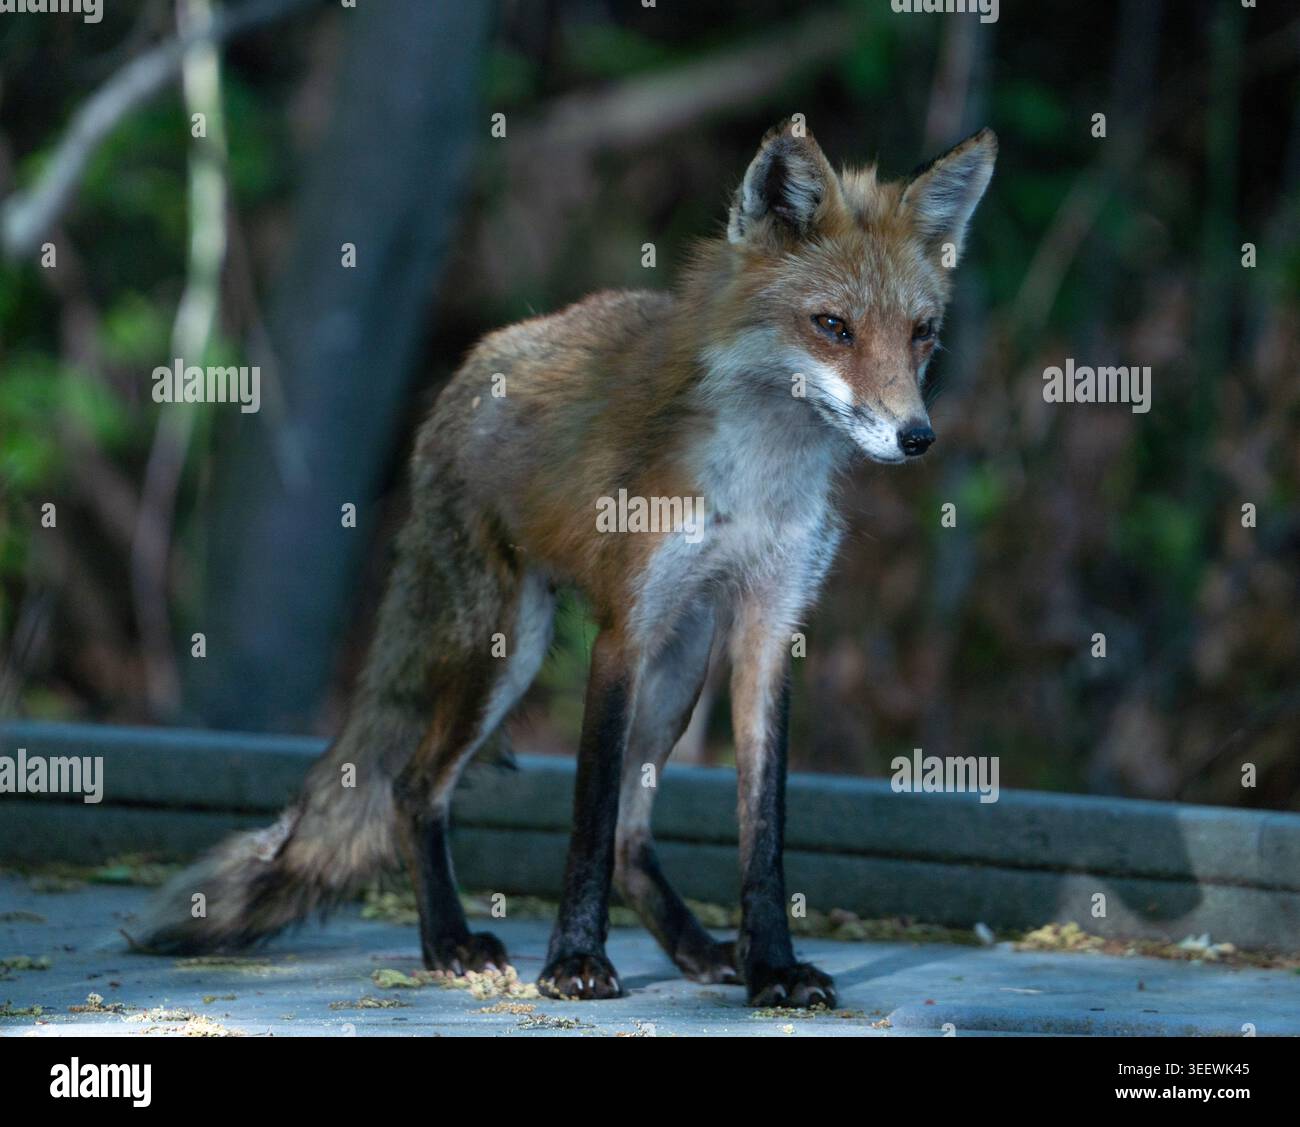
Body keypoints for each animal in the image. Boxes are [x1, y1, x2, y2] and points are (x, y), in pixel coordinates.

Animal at [136, 119, 996, 1008]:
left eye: (921, 332)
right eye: (833, 326)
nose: (917, 436)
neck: (761, 476)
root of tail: (478, 360)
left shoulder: (768, 630)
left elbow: (761, 830)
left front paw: (774, 967)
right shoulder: (622, 628)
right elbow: (587, 811)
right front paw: (576, 960)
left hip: (681, 662)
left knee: (630, 836)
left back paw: (698, 949)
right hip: (508, 646)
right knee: (417, 784)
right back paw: (449, 940)